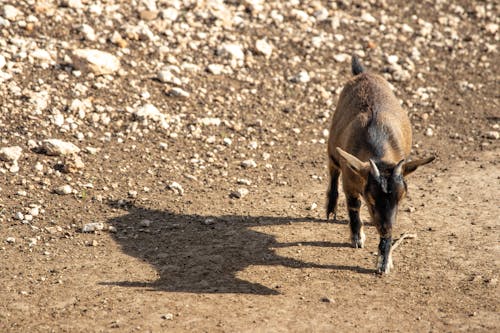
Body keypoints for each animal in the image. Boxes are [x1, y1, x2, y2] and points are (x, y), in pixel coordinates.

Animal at [328, 56, 434, 272]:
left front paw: (384, 261)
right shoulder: (350, 179)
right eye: (371, 200)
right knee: (332, 169)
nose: (386, 228)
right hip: (333, 146)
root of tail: (363, 73)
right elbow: (353, 206)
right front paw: (357, 237)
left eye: (401, 199)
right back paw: (331, 207)